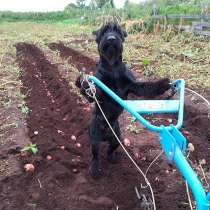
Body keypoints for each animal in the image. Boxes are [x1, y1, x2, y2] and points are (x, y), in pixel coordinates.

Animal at [75, 22, 171, 177]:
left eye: (118, 31)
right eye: (103, 32)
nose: (111, 39)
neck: (112, 66)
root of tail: (106, 135)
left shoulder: (133, 86)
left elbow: (147, 86)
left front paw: (162, 84)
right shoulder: (99, 90)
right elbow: (92, 93)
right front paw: (82, 83)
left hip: (117, 138)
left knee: (110, 149)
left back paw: (112, 158)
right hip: (94, 138)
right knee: (95, 155)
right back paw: (94, 170)